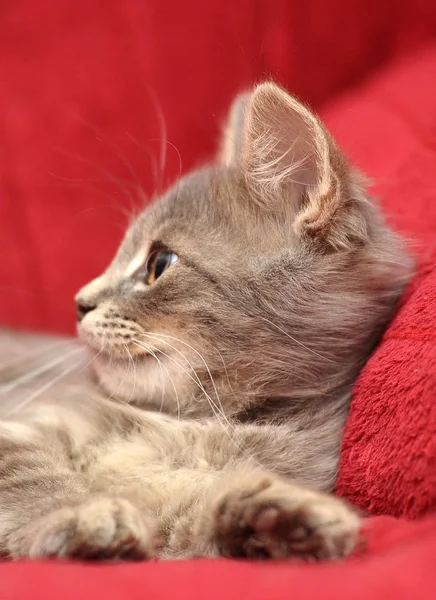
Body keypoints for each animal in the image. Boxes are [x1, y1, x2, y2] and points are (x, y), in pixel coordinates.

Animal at [0, 82, 410, 560]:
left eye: (159, 263)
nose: (79, 302)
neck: (199, 424)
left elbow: (192, 515)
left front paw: (278, 516)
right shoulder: (25, 424)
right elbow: (34, 479)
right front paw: (82, 514)